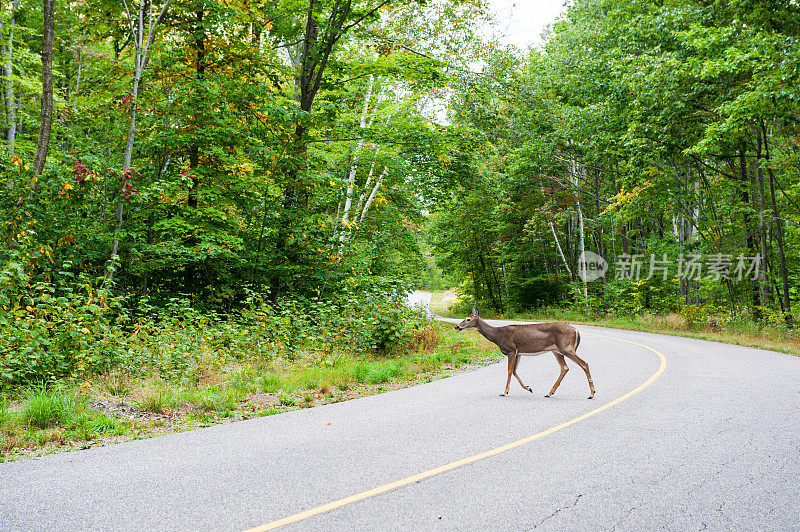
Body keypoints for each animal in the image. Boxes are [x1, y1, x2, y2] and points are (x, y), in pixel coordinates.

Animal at [456, 308, 592, 400]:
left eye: (468, 319)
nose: (457, 326)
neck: (497, 335)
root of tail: (576, 331)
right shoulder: (518, 352)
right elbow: (514, 371)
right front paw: (529, 388)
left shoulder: (511, 350)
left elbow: (509, 371)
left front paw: (504, 392)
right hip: (556, 350)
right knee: (564, 367)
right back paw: (549, 393)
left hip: (566, 347)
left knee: (584, 363)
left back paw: (591, 393)